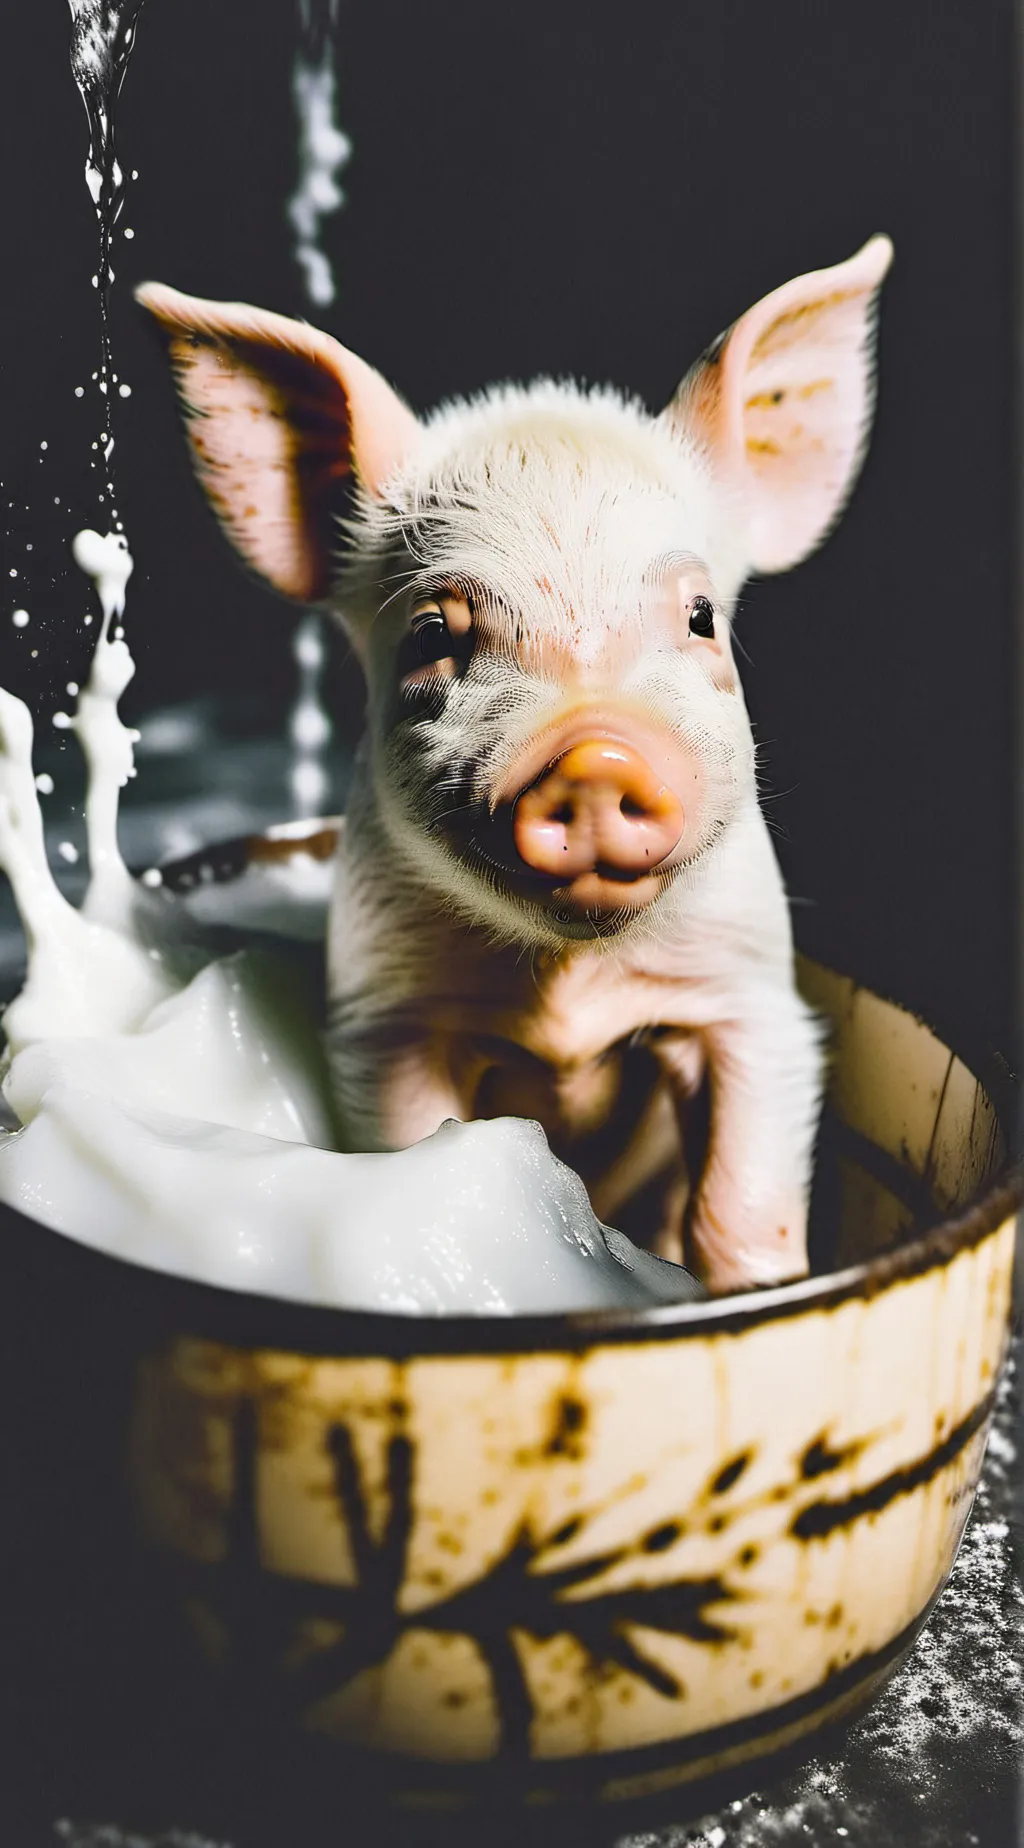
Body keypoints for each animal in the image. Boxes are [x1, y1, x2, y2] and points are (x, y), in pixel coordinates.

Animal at [137, 233, 892, 1293]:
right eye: (431, 635)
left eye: (702, 616)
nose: (597, 753)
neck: (567, 985)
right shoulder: (384, 1013)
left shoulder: (752, 994)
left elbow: (738, 1204)